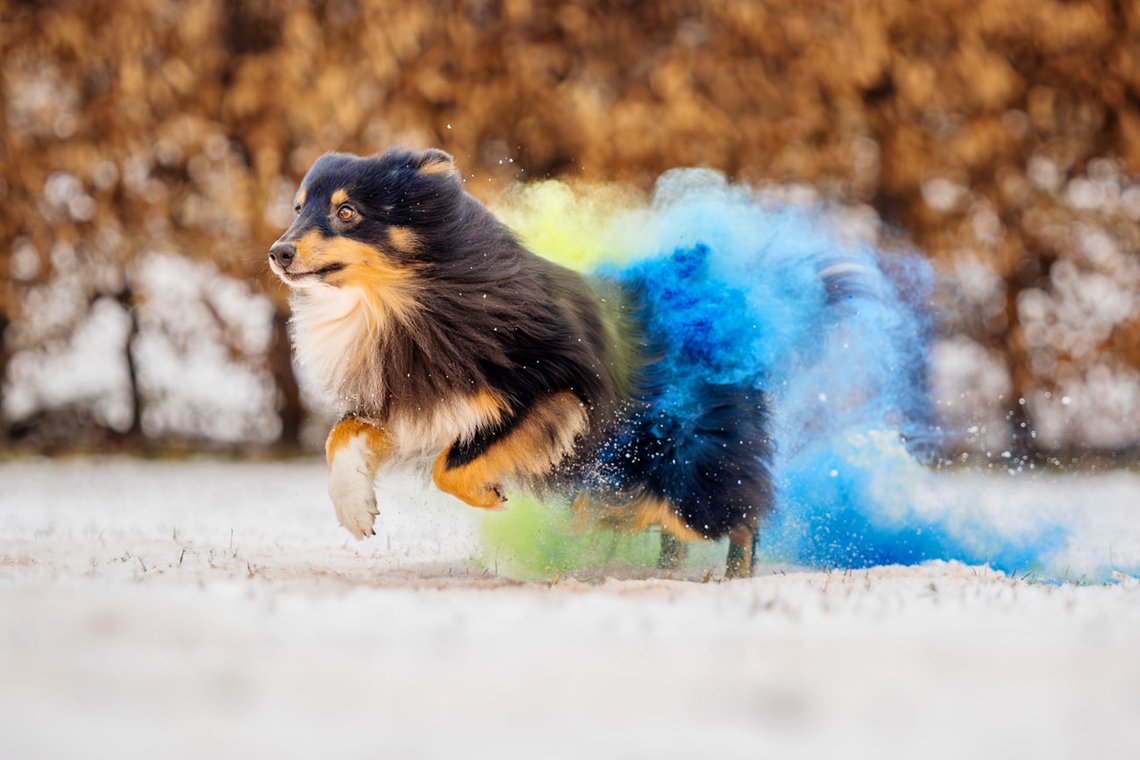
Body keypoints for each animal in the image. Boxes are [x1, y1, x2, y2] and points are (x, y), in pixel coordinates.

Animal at [264, 146, 775, 576]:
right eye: (299, 209)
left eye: (346, 212)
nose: (277, 252)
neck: (405, 304)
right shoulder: (413, 402)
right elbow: (341, 435)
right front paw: (355, 510)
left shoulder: (553, 388)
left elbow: (450, 466)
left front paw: (491, 497)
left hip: (681, 468)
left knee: (733, 512)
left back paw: (734, 574)